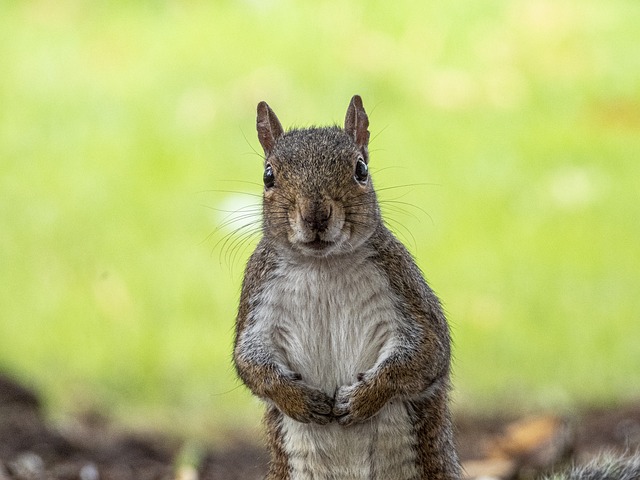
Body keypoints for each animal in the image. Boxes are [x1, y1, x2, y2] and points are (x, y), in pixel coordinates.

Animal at [232, 94, 462, 480]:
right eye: (268, 176)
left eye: (361, 169)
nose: (315, 214)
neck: (323, 265)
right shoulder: (258, 301)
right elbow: (251, 363)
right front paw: (299, 400)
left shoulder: (405, 291)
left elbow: (423, 355)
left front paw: (362, 399)